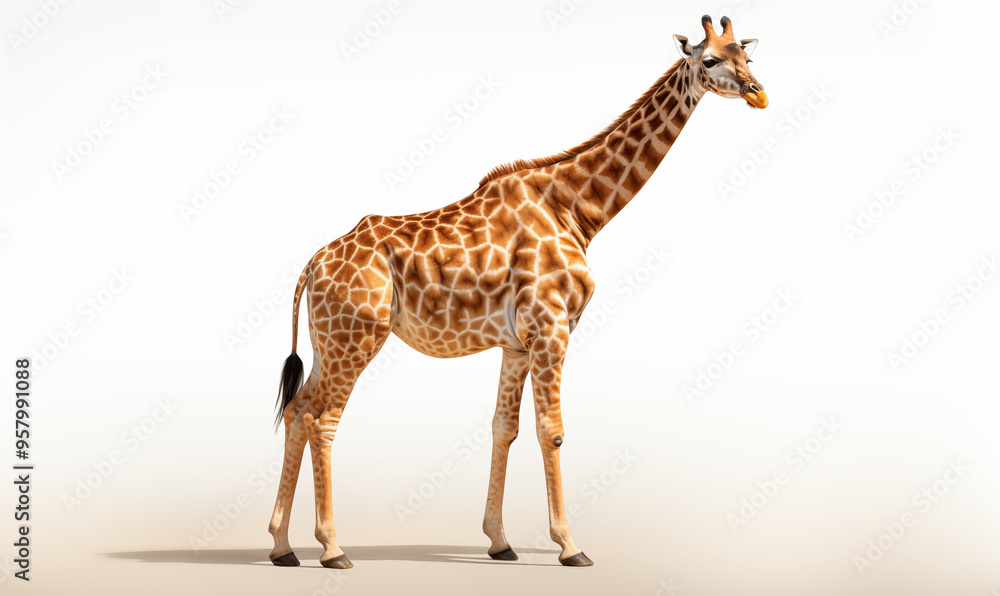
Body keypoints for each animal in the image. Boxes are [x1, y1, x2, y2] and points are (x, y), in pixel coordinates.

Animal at [267, 15, 766, 569]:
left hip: (328, 341)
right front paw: (571, 547)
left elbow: (503, 428)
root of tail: (312, 265)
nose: (757, 93)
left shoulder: (517, 343)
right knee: (323, 419)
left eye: (747, 55)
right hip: (357, 337)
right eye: (710, 59)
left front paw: (500, 542)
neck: (578, 210)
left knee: (297, 410)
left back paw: (282, 547)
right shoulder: (551, 328)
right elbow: (553, 430)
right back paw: (332, 548)